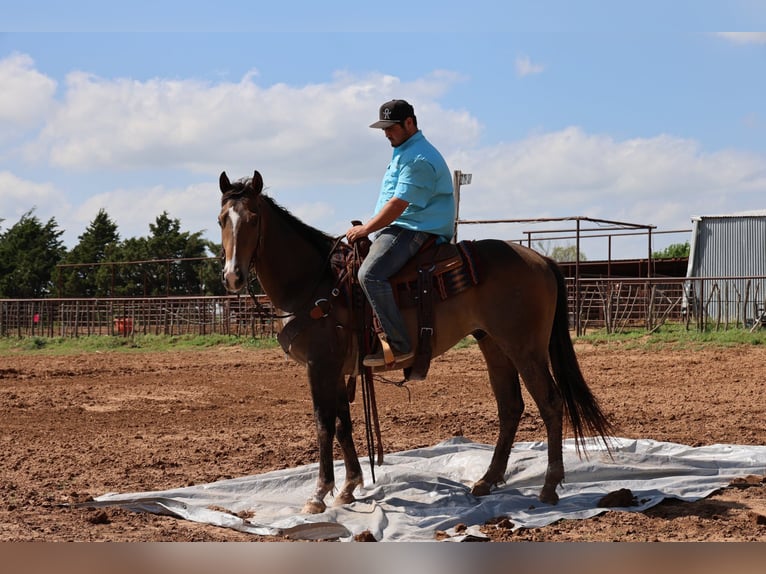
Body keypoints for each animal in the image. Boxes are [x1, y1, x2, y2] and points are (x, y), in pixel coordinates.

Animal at [218, 170, 613, 514]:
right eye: (222, 218)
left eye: (253, 218)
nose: (233, 276)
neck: (315, 282)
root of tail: (541, 259)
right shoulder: (338, 369)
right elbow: (343, 424)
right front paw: (349, 487)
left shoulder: (320, 366)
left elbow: (324, 425)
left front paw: (318, 495)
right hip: (494, 345)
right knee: (510, 407)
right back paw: (487, 481)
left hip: (525, 348)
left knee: (550, 403)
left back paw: (548, 486)